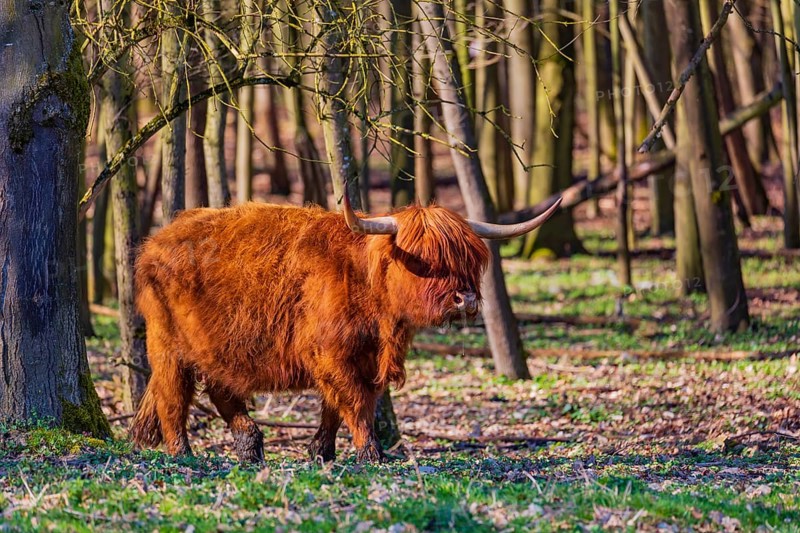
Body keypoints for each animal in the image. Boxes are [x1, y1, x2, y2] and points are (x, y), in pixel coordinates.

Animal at [130, 196, 562, 463]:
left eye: (468, 259)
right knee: (172, 396)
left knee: (221, 391)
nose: (466, 299)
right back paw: (183, 453)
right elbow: (354, 401)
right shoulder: (330, 354)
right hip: (166, 343)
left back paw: (250, 446)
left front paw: (321, 451)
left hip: (220, 348)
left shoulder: (364, 358)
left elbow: (339, 406)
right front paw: (370, 453)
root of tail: (158, 239)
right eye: (425, 259)